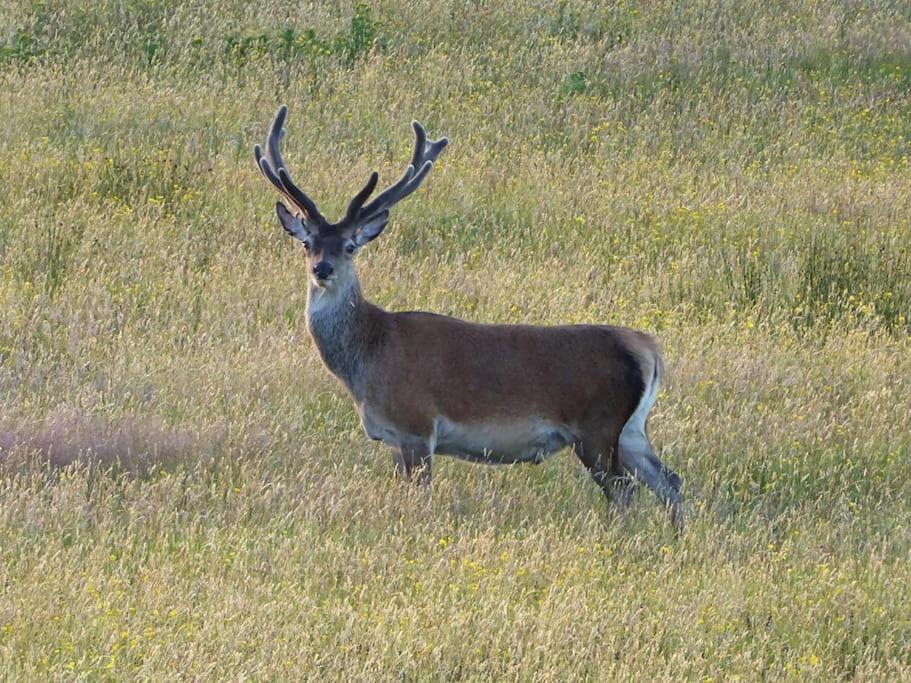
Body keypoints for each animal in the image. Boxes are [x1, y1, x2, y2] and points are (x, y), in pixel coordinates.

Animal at [253, 105, 680, 528]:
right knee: (671, 481)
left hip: (598, 427)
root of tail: (648, 349)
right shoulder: (393, 438)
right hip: (631, 430)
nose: (321, 269)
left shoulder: (417, 425)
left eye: (350, 246)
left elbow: (420, 497)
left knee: (626, 491)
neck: (368, 358)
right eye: (308, 243)